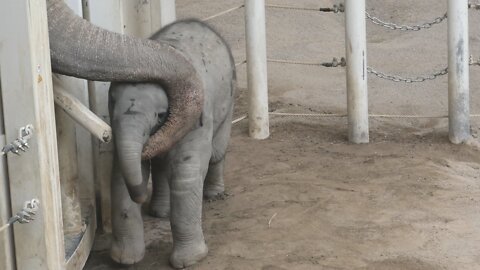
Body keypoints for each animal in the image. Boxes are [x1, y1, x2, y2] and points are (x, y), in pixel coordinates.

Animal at [109, 20, 236, 268]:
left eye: (160, 115)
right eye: (111, 108)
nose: (140, 197)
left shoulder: (197, 118)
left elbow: (185, 172)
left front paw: (189, 261)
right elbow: (121, 175)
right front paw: (125, 260)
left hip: (228, 102)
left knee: (217, 152)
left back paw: (214, 194)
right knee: (160, 169)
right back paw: (160, 212)